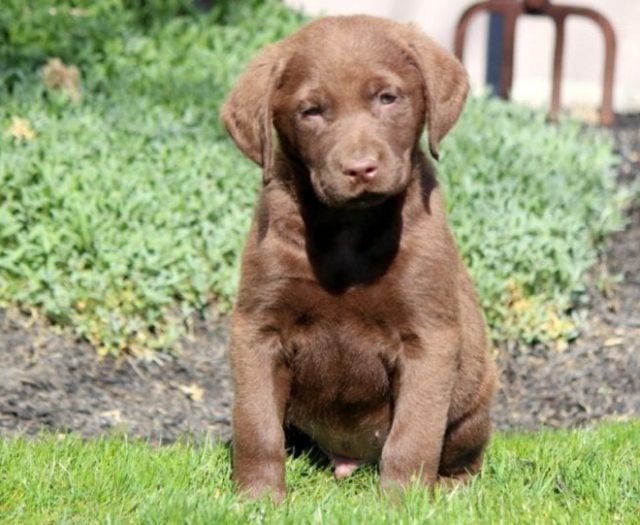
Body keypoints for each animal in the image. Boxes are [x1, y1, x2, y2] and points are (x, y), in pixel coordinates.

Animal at [222, 15, 498, 500]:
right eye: (312, 111)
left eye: (387, 98)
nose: (360, 168)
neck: (347, 229)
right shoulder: (256, 327)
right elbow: (256, 424)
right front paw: (257, 498)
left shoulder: (428, 336)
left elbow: (413, 433)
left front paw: (404, 502)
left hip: (474, 400)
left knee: (462, 454)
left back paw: (451, 487)